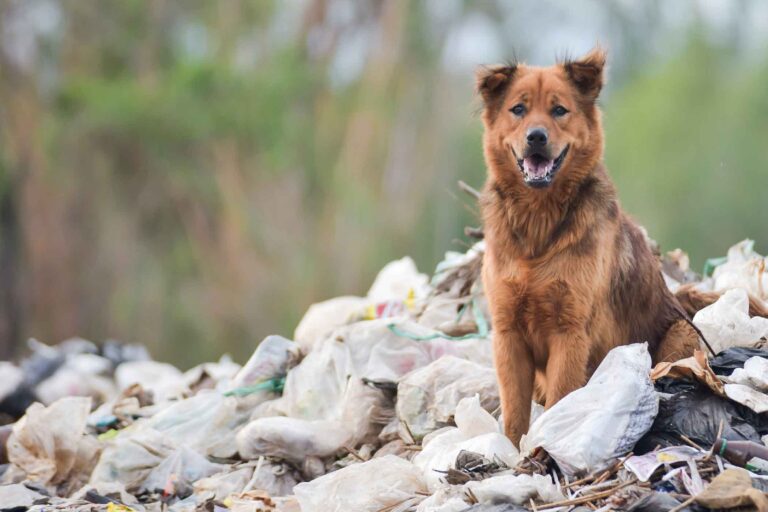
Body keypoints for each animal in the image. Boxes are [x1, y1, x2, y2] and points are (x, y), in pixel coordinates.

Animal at [480, 49, 704, 448]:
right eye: (518, 109)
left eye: (559, 110)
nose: (536, 137)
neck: (539, 224)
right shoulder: (508, 334)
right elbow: (515, 411)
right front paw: (511, 451)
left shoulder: (570, 332)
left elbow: (559, 398)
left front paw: (546, 446)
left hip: (681, 334)